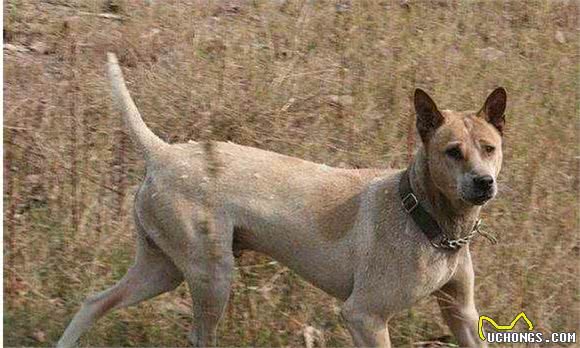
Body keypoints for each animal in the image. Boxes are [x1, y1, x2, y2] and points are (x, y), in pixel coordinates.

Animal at [56, 52, 506, 348]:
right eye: (452, 152)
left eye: (489, 148)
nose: (484, 183)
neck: (426, 217)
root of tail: (164, 154)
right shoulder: (365, 316)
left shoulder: (462, 313)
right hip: (211, 277)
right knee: (197, 335)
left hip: (161, 270)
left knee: (95, 301)